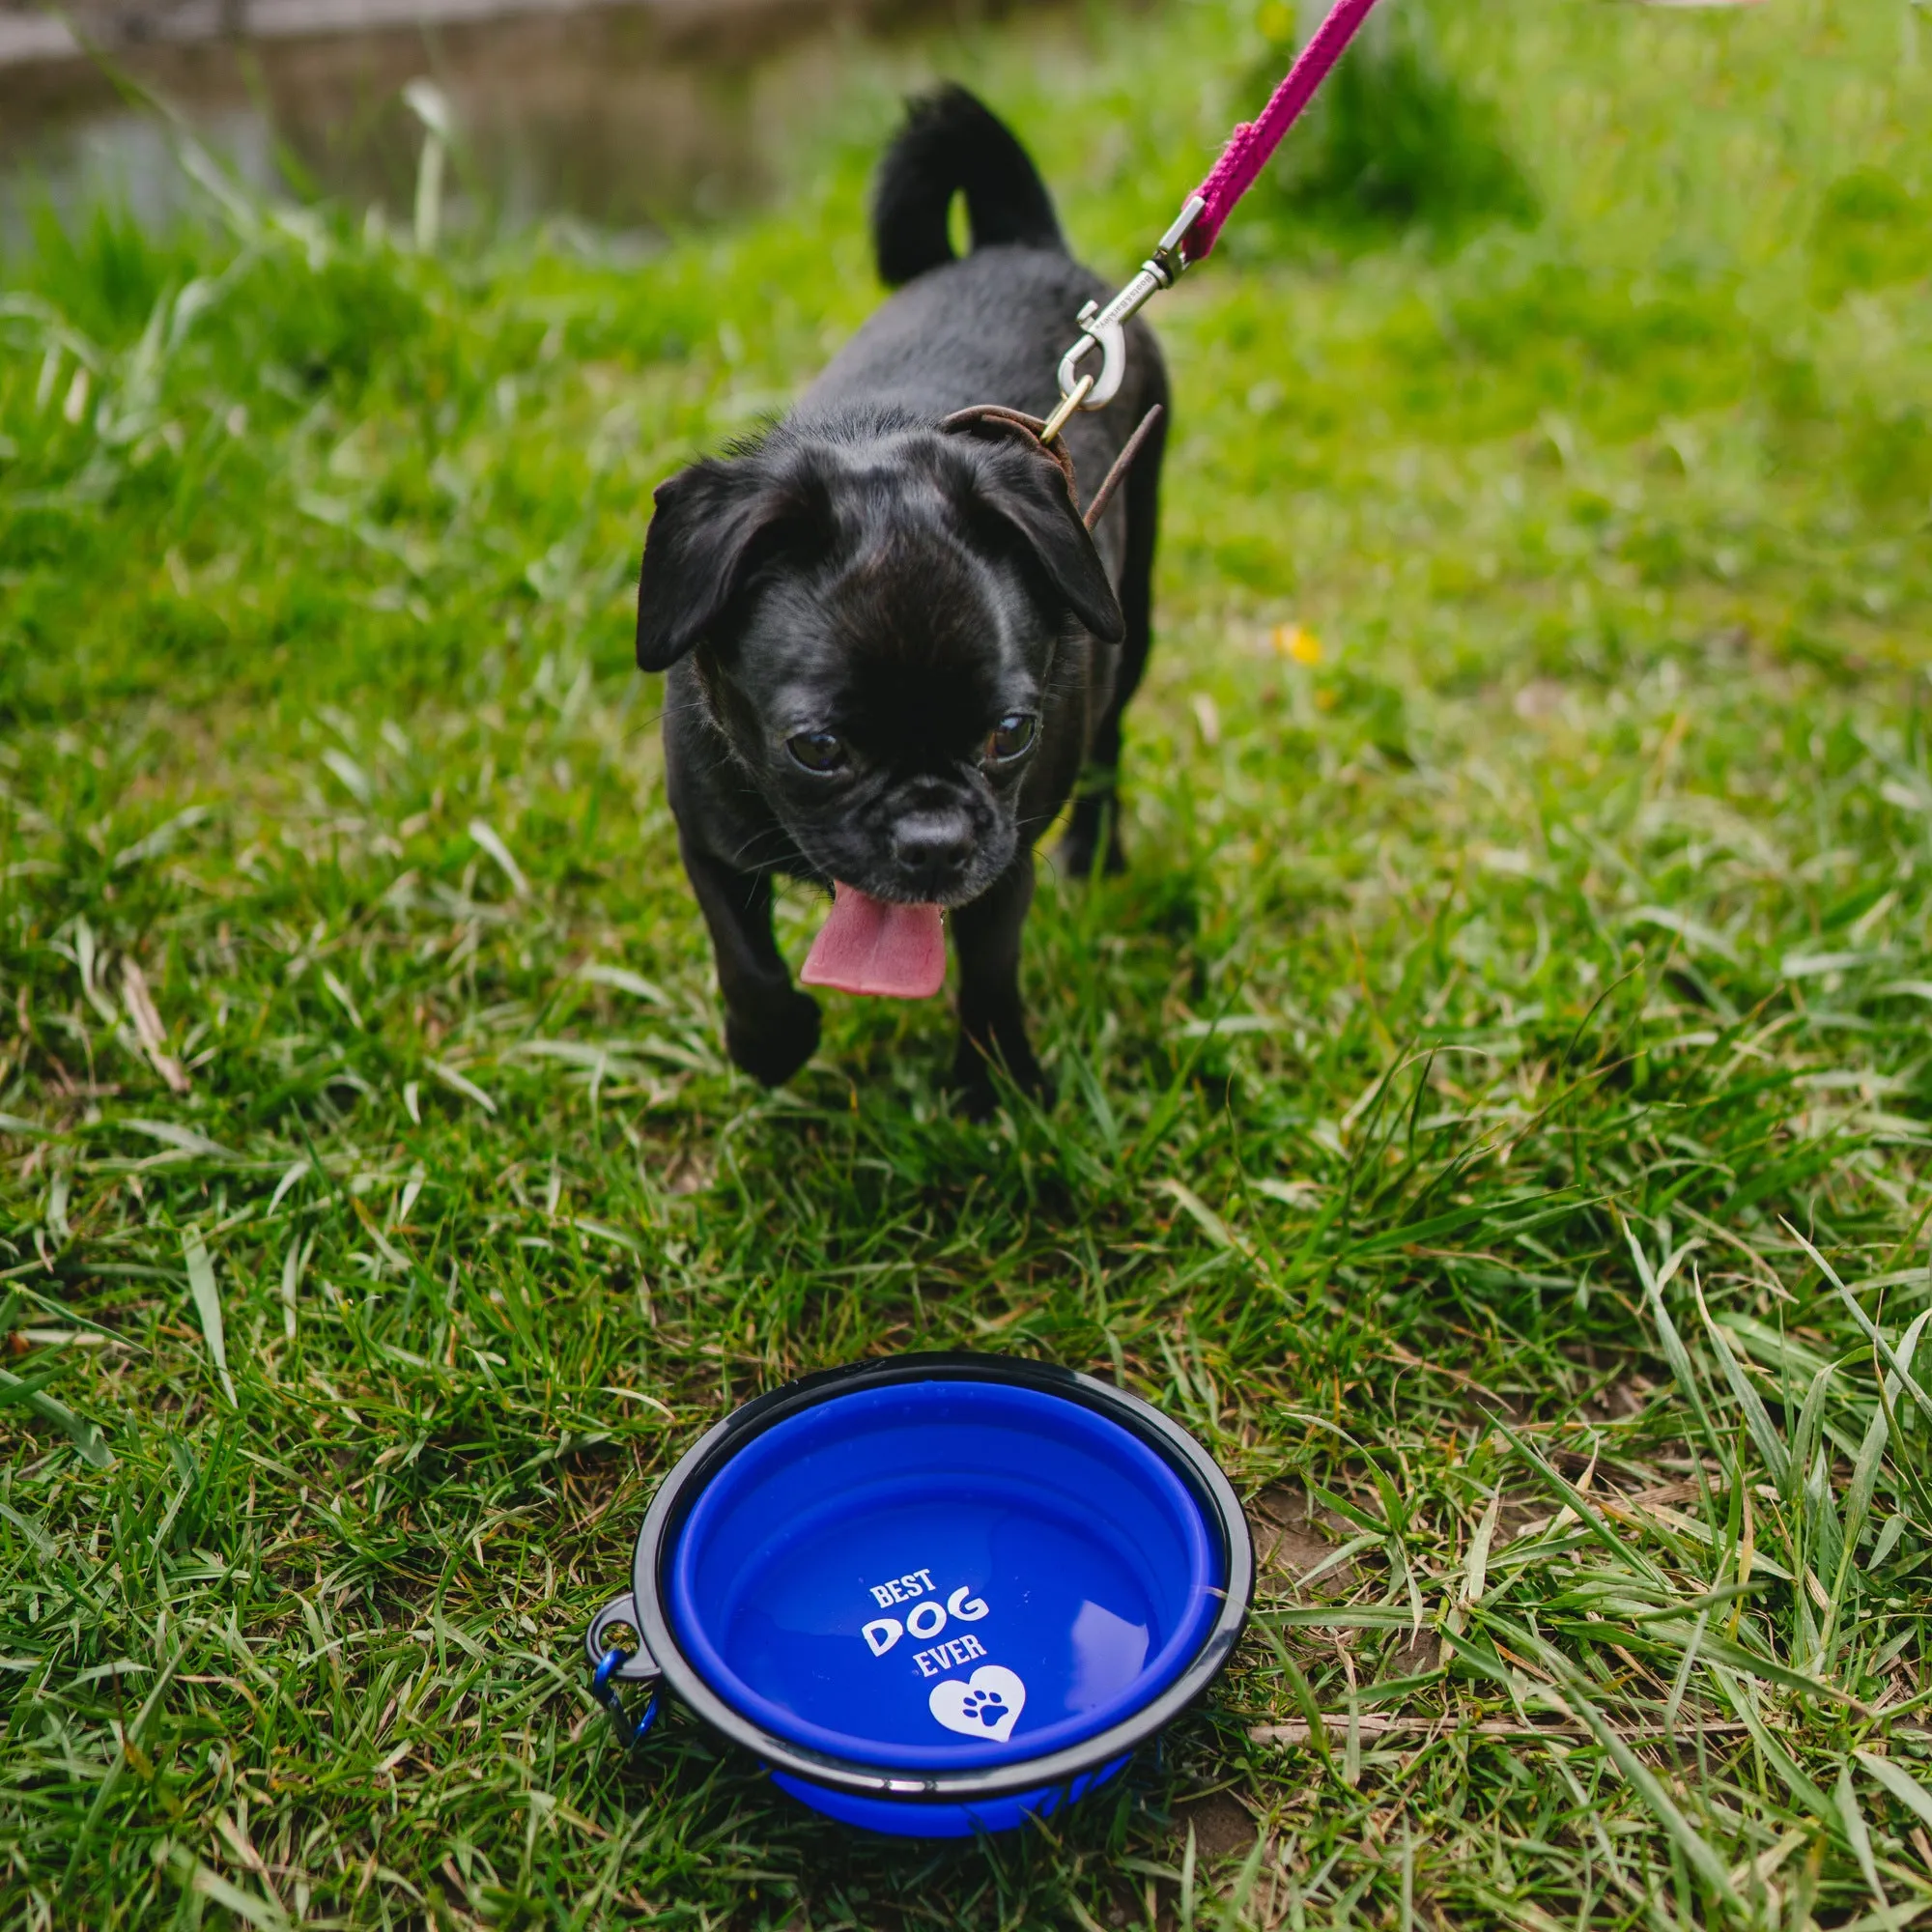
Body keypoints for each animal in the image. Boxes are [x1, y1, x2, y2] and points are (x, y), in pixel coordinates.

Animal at [641, 83, 1167, 1113]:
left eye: (1011, 735)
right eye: (816, 750)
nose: (932, 838)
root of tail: (1018, 243)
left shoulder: (1005, 853)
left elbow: (991, 966)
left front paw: (997, 1081)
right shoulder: (707, 835)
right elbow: (744, 958)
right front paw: (771, 1042)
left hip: (1132, 620)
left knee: (1111, 746)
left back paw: (1095, 857)